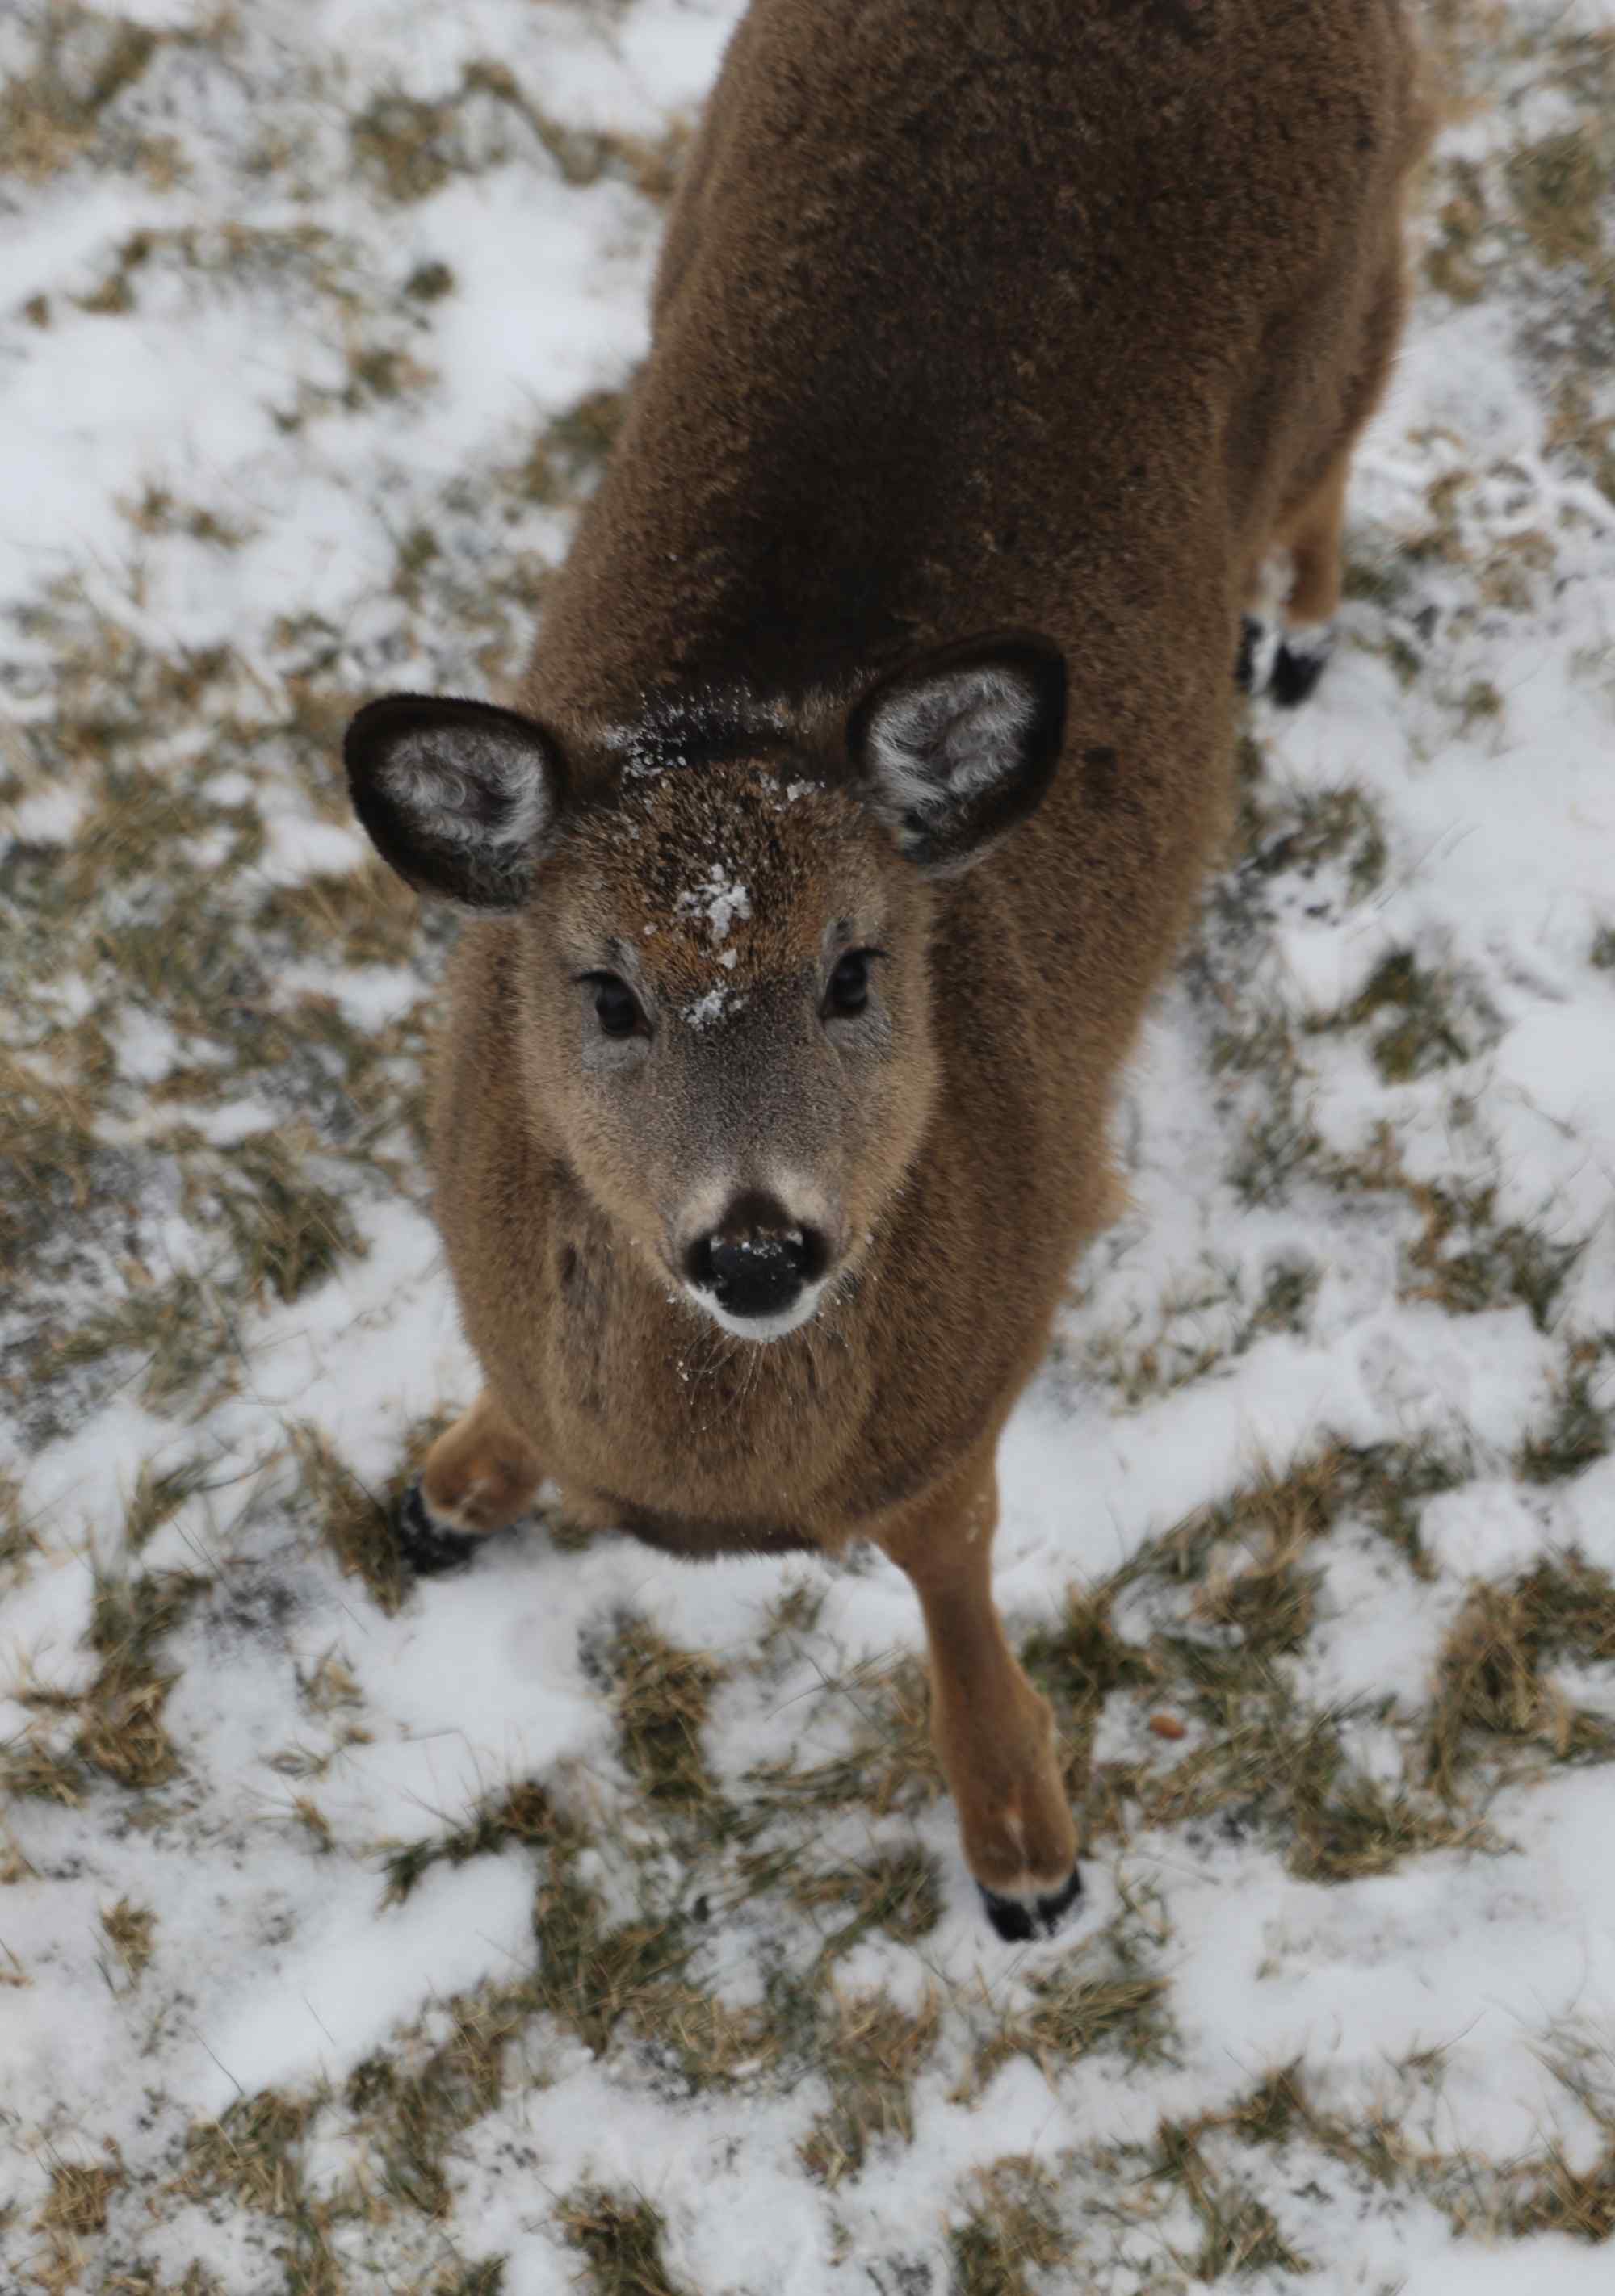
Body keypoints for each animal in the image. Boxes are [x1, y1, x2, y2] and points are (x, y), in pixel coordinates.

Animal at [340, 0, 1424, 1938]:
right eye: (601, 989)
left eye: (857, 970)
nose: (758, 1240)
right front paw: (448, 1492)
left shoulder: (993, 1327)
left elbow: (951, 1553)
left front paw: (1026, 1850)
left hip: (1360, 275)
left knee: (1338, 439)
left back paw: (1292, 633)